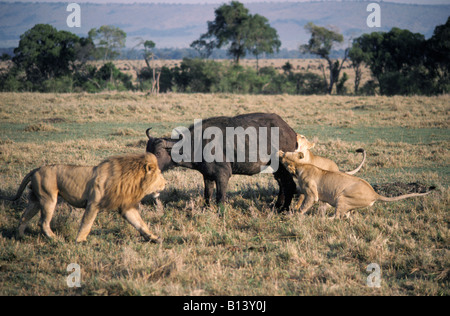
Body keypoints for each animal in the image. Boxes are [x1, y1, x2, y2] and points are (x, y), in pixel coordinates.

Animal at [0, 154, 165, 243]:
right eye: (159, 175)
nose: (166, 183)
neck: (131, 180)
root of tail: (36, 169)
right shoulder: (93, 203)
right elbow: (87, 223)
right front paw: (79, 240)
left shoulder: (126, 207)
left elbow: (140, 224)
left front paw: (154, 238)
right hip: (49, 198)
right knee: (42, 222)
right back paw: (55, 238)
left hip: (35, 200)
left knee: (24, 217)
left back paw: (20, 237)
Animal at [146, 112, 298, 211]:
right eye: (147, 151)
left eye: (158, 153)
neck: (198, 143)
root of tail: (290, 131)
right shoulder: (207, 175)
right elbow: (208, 194)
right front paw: (206, 209)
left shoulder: (222, 174)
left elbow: (220, 196)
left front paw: (221, 212)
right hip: (276, 169)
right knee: (282, 184)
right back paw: (277, 206)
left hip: (283, 167)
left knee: (289, 184)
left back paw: (284, 209)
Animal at [280, 150, 434, 217]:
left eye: (285, 156)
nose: (279, 152)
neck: (301, 166)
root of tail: (374, 193)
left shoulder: (312, 194)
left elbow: (304, 206)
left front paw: (295, 216)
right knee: (346, 215)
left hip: (341, 198)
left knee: (337, 217)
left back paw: (324, 220)